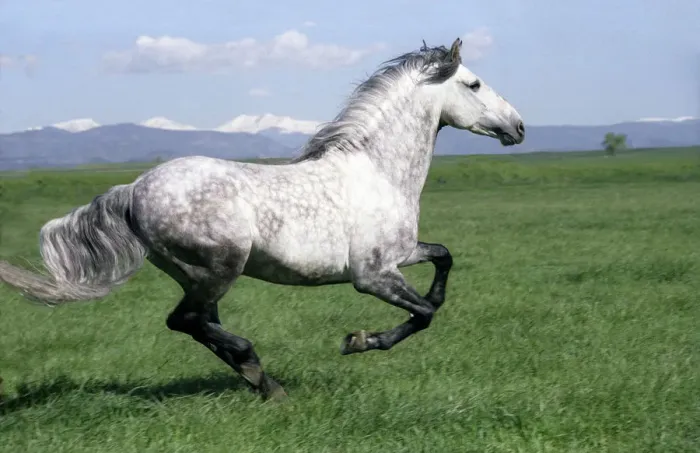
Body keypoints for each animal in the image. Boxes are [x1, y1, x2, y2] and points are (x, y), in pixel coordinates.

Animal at [0, 37, 524, 400]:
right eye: (474, 84)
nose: (518, 127)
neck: (378, 171)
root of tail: (133, 190)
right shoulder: (372, 275)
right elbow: (424, 314)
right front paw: (357, 341)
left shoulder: (401, 255)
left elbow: (443, 261)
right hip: (219, 268)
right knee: (183, 320)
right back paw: (257, 368)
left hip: (195, 275)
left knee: (198, 323)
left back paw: (261, 380)